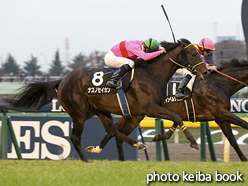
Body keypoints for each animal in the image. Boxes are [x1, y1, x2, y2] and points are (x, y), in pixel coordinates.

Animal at [4, 38, 209, 161]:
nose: (206, 71)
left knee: (112, 130)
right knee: (76, 137)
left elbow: (175, 118)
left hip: (100, 109)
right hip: (78, 112)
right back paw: (87, 161)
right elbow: (177, 117)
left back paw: (124, 145)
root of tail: (63, 80)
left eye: (199, 52)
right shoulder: (150, 108)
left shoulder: (145, 111)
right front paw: (193, 143)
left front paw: (160, 137)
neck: (152, 74)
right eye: (193, 53)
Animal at [87, 58, 248, 161]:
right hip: (135, 117)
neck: (218, 84)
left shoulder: (220, 118)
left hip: (131, 116)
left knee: (114, 132)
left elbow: (232, 141)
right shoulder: (221, 113)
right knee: (116, 133)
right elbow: (244, 124)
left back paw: (100, 150)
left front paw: (243, 159)